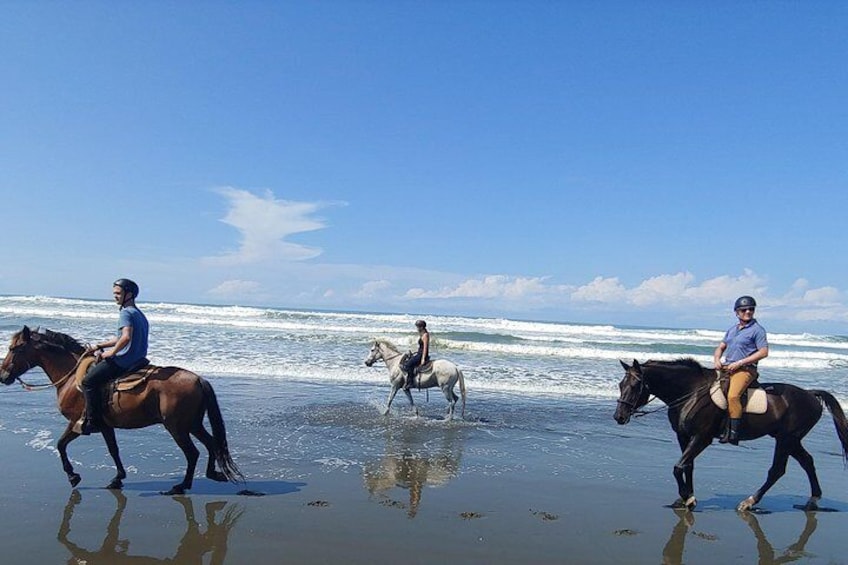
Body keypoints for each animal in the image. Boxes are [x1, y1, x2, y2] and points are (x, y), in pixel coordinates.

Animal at [0, 326, 245, 494]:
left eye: (13, 348)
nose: (3, 376)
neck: (71, 378)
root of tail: (198, 379)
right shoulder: (105, 426)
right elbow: (113, 450)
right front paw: (117, 478)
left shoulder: (77, 423)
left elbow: (60, 445)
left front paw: (73, 476)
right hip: (192, 424)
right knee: (211, 443)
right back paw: (212, 474)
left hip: (177, 427)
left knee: (192, 453)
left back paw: (181, 485)